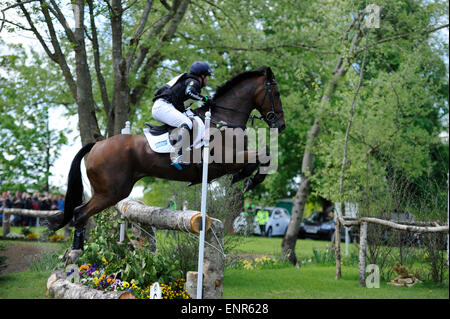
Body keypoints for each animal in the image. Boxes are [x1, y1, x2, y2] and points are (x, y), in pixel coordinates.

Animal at [48, 66, 284, 256]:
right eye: (276, 93)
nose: (280, 125)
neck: (223, 121)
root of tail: (97, 145)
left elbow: (262, 155)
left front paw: (245, 178)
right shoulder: (223, 161)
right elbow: (261, 156)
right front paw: (247, 179)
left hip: (111, 192)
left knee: (79, 212)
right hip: (111, 192)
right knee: (80, 214)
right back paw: (77, 253)